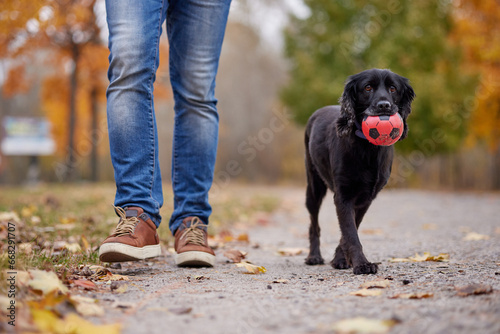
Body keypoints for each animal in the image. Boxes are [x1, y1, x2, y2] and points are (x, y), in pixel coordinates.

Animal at [304, 68, 414, 274]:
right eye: (368, 87)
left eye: (393, 88)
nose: (384, 106)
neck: (368, 148)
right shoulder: (343, 195)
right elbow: (350, 232)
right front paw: (362, 264)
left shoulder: (366, 198)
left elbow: (350, 228)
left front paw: (341, 259)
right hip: (314, 187)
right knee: (314, 225)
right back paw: (314, 256)